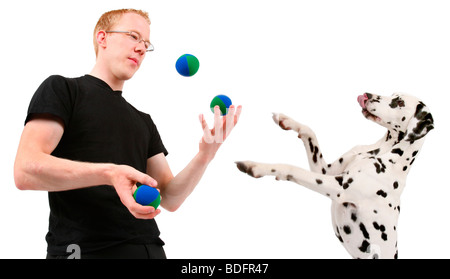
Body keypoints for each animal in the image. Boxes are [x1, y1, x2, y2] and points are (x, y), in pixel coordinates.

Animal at [237, 93, 434, 260]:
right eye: (393, 95)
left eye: (399, 102)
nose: (367, 95)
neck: (381, 152)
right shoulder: (325, 170)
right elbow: (310, 133)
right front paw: (286, 120)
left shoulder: (339, 187)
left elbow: (292, 169)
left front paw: (256, 166)